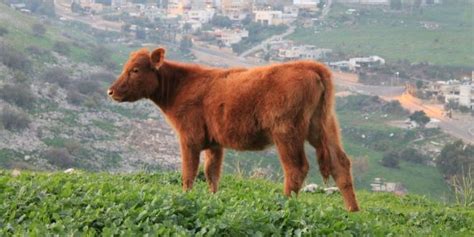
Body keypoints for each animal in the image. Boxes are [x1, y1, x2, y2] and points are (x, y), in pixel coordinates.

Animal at [107, 47, 360, 211]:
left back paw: (284, 205)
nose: (110, 91)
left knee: (296, 168)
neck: (180, 87)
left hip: (286, 130)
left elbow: (189, 173)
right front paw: (212, 199)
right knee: (340, 163)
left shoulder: (189, 137)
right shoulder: (214, 142)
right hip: (323, 126)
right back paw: (352, 211)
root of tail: (309, 65)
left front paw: (185, 199)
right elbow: (212, 173)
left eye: (135, 70)